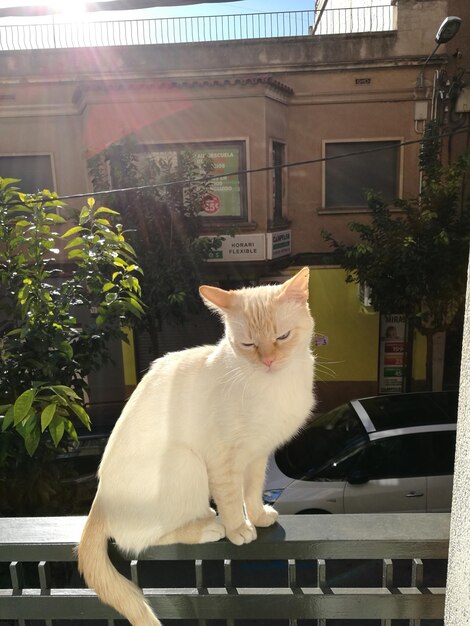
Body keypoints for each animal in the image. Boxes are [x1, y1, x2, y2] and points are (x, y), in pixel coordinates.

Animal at [78, 264, 316, 624]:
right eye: (247, 343)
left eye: (282, 337)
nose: (268, 361)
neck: (272, 386)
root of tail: (99, 501)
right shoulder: (223, 460)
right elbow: (231, 500)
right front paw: (238, 529)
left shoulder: (256, 456)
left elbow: (252, 492)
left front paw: (258, 516)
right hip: (186, 462)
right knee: (140, 541)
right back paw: (209, 528)